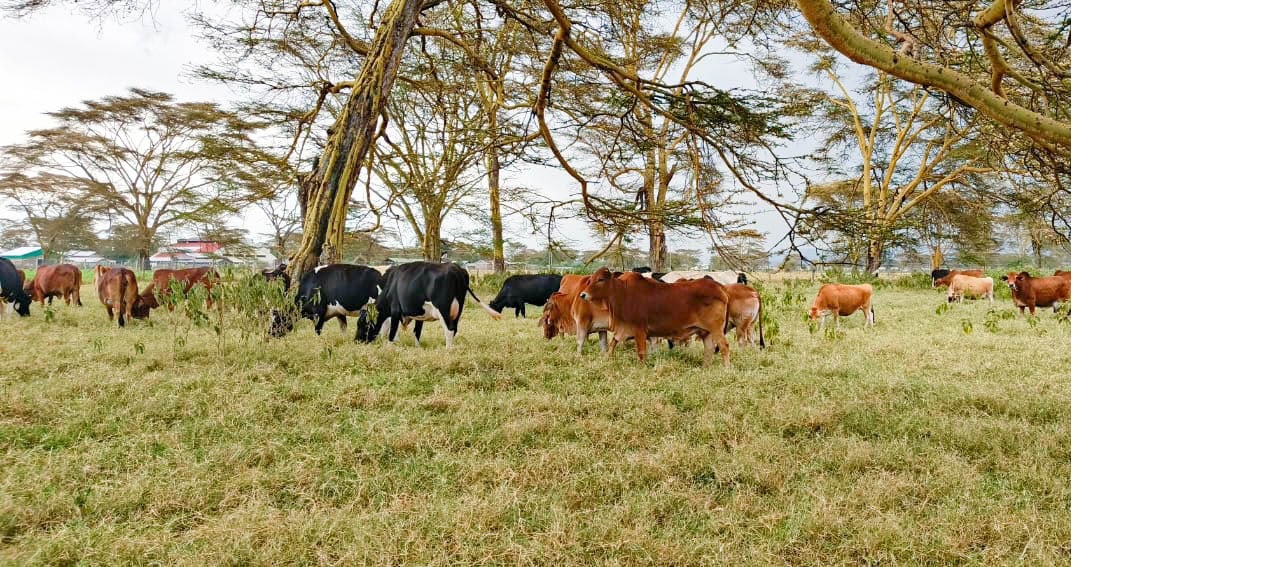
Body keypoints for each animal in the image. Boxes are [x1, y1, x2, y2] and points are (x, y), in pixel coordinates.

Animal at [356, 261, 502, 347]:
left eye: (362, 324)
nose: (356, 341)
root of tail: (455, 268)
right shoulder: (420, 314)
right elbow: (417, 332)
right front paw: (417, 348)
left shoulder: (395, 310)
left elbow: (392, 332)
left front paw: (389, 348)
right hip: (459, 309)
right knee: (454, 329)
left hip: (443, 308)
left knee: (449, 329)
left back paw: (448, 350)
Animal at [579, 268, 731, 366]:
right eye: (590, 279)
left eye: (601, 279)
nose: (583, 295)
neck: (623, 292)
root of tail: (719, 287)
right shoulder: (623, 328)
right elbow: (611, 346)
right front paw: (604, 360)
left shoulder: (639, 330)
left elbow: (641, 352)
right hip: (705, 332)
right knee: (709, 349)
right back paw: (704, 368)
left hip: (716, 329)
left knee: (724, 346)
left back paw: (726, 369)